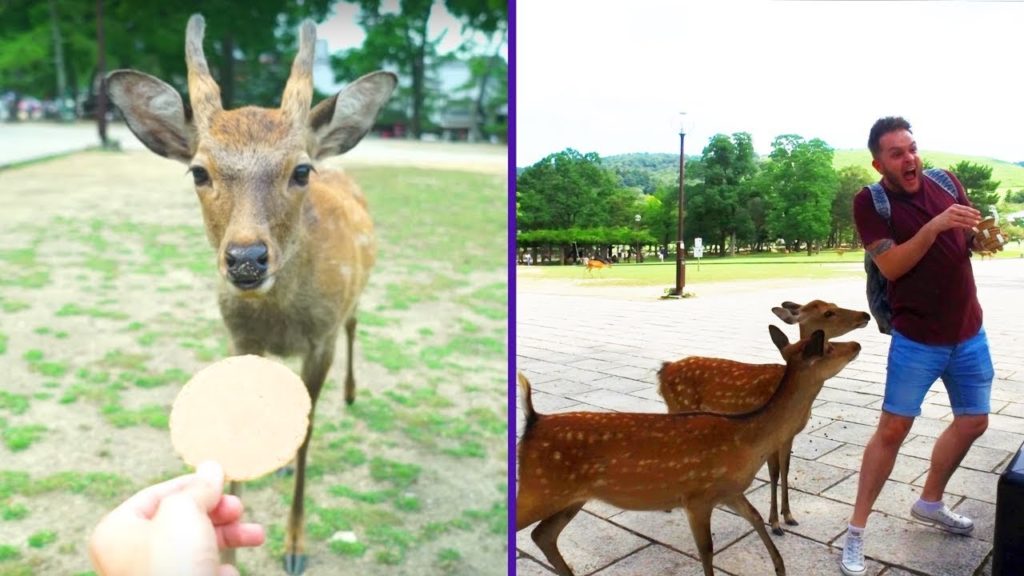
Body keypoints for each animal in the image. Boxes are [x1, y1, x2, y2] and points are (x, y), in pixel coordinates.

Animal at [105, 15, 396, 575]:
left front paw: (294, 546)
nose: (246, 259)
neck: (279, 318)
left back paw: (350, 394)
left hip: (353, 301)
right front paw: (228, 538)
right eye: (199, 170)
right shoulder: (238, 338)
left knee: (355, 324)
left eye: (301, 170)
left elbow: (308, 433)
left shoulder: (321, 338)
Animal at [516, 328, 861, 576]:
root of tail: (533, 421)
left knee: (543, 536)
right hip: (540, 488)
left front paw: (780, 566)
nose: (857, 344)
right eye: (828, 347)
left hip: (571, 497)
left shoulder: (728, 490)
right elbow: (706, 550)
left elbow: (755, 517)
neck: (747, 440)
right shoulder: (697, 496)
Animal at [657, 300, 870, 535]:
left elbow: (786, 469)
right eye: (828, 312)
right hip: (679, 406)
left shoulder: (789, 435)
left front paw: (788, 516)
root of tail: (662, 371)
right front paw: (775, 522)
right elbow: (774, 472)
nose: (865, 315)